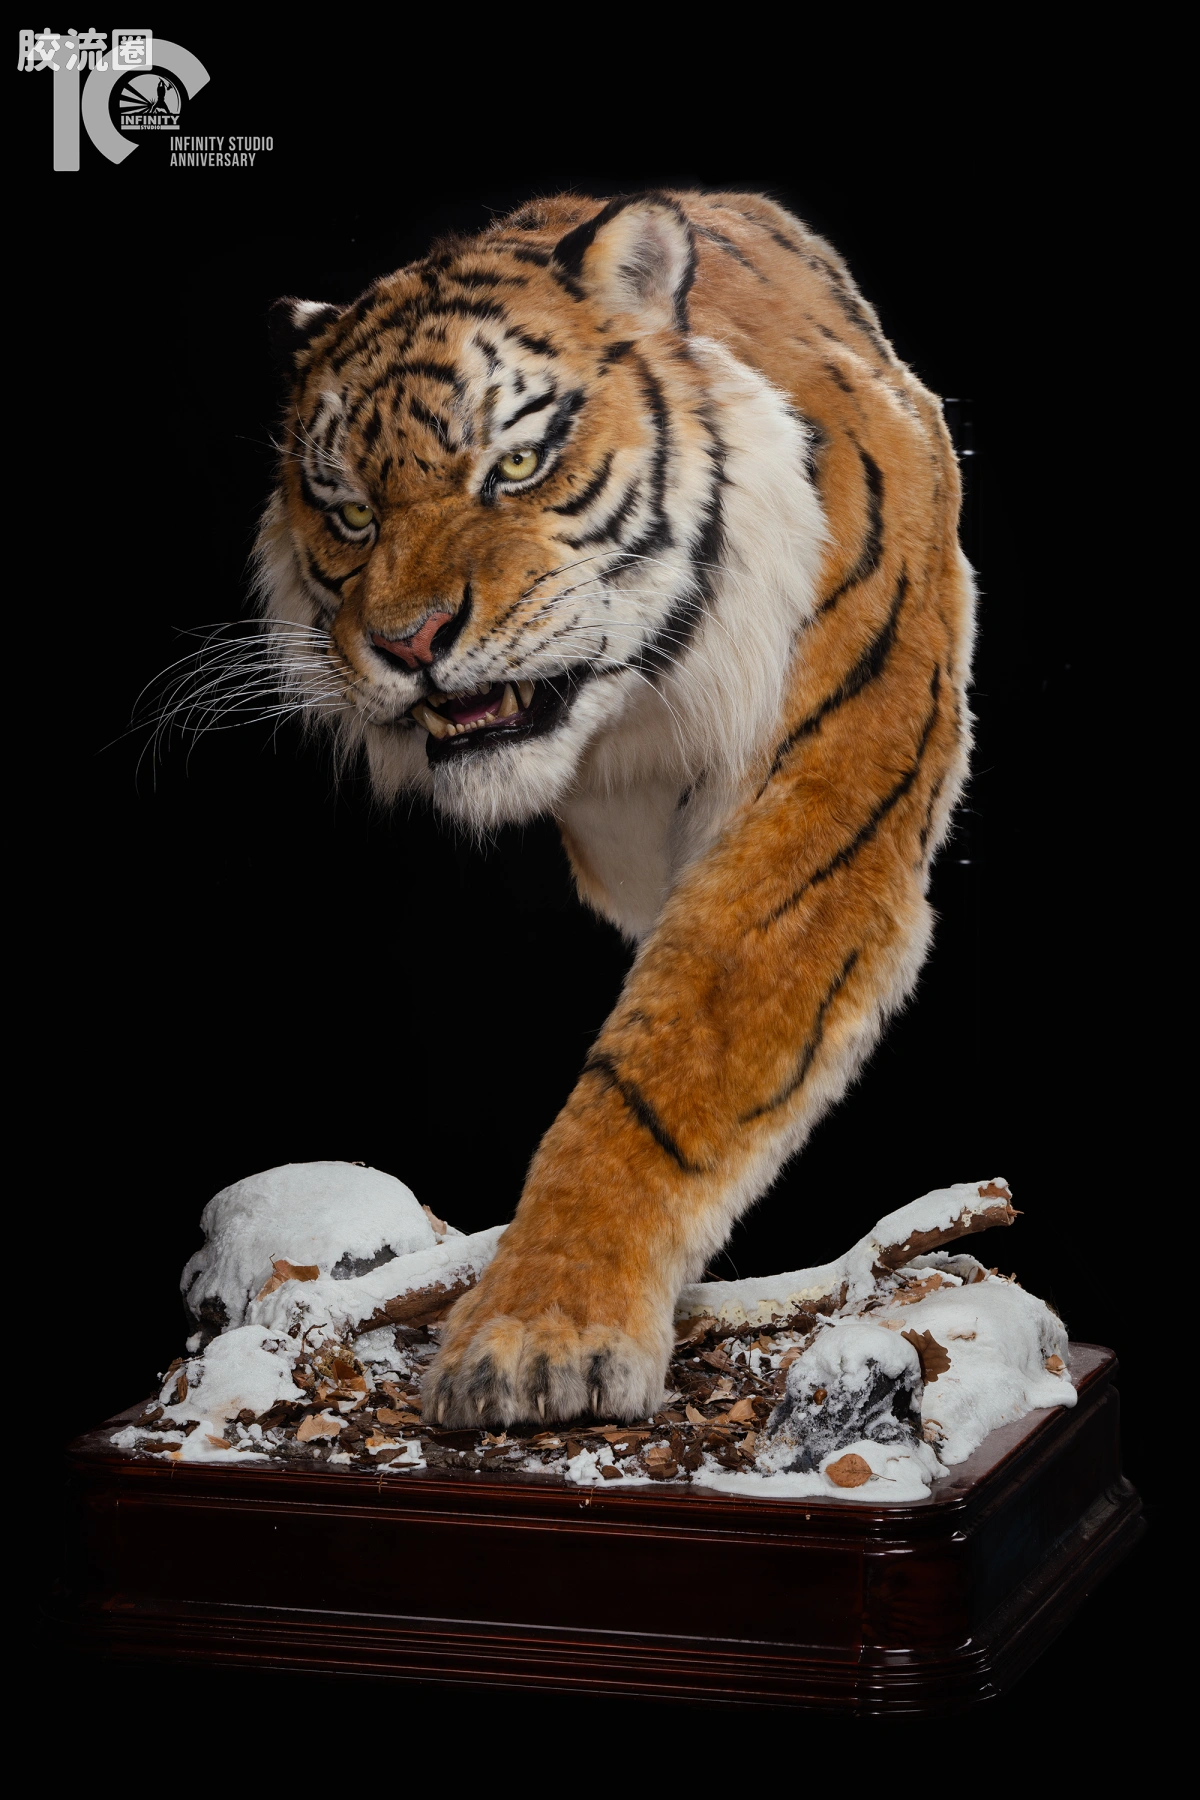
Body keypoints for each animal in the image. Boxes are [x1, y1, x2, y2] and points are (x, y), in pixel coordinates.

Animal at [256, 190, 973, 1428]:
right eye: (347, 512)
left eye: (517, 463)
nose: (408, 642)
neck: (626, 717)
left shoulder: (819, 822)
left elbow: (656, 1078)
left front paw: (540, 1335)